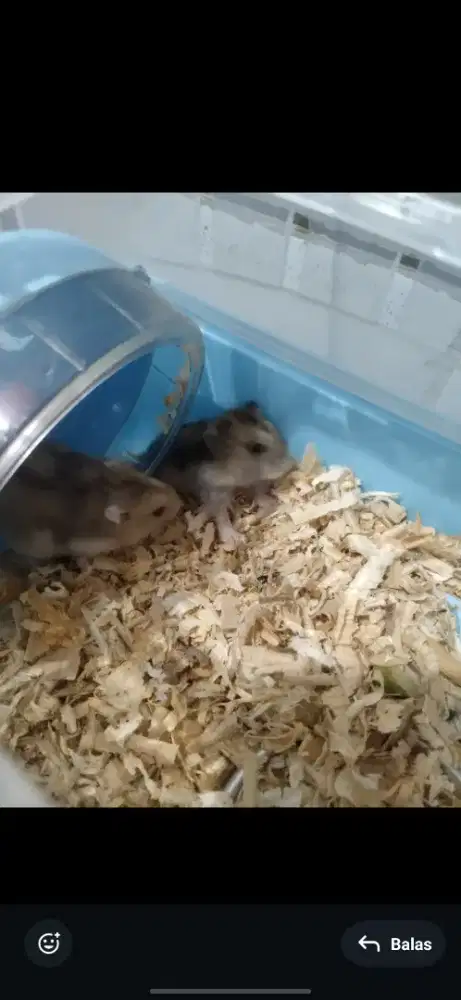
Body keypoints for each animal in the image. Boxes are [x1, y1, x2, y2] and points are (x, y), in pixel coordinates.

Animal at [154, 402, 295, 548]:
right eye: (257, 448)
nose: (292, 463)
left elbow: (262, 496)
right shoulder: (212, 486)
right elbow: (221, 514)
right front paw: (238, 538)